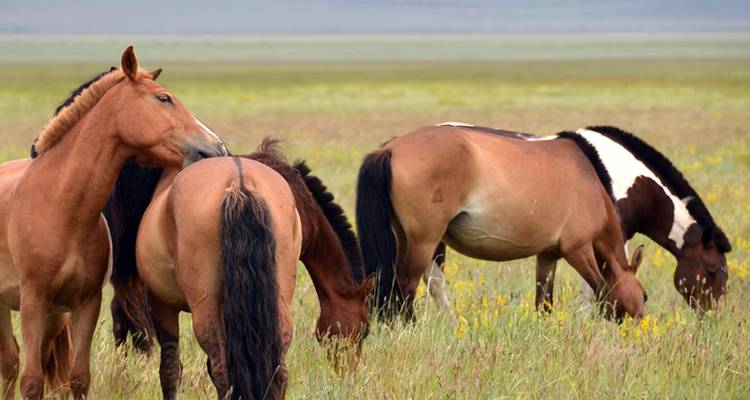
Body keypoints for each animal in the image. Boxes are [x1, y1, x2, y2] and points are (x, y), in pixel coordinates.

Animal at [0, 46, 225, 400]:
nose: (215, 147)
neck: (61, 208)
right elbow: (31, 381)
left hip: (54, 317)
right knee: (9, 363)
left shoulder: (85, 303)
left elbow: (78, 377)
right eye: (163, 98)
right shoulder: (33, 301)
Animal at [356, 124, 647, 321]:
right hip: (423, 242)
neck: (589, 183)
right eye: (644, 295)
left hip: (404, 239)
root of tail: (390, 149)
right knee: (406, 285)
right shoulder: (578, 250)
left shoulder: (548, 256)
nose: (640, 324)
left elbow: (544, 301)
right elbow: (601, 287)